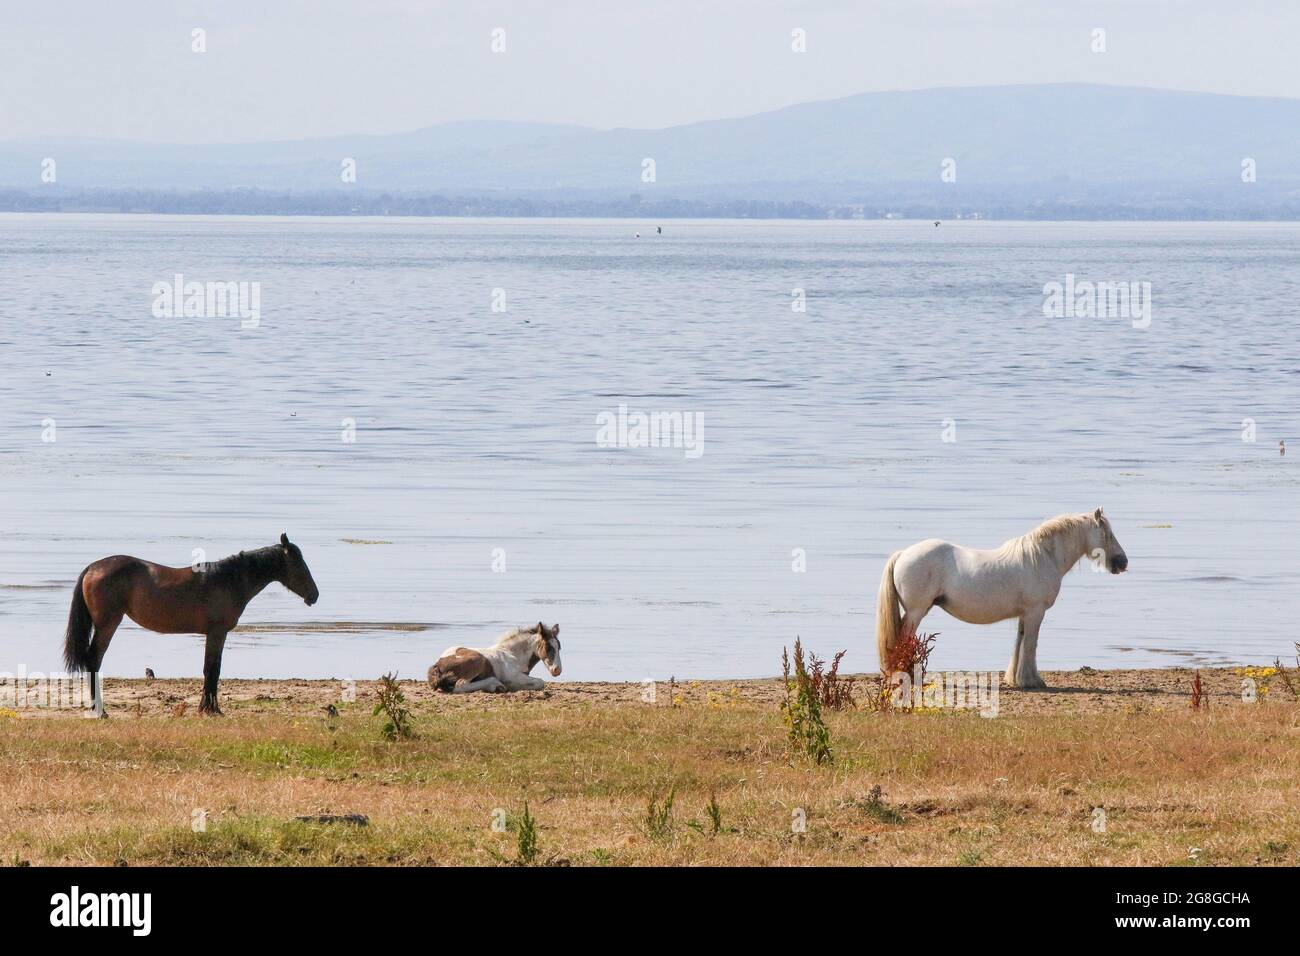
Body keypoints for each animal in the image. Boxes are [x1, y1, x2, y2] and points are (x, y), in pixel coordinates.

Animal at [64, 535, 318, 712]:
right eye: (298, 564)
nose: (314, 595)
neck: (227, 580)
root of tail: (93, 567)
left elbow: (210, 669)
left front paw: (206, 708)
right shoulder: (217, 633)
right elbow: (212, 670)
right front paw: (212, 710)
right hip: (108, 624)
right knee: (94, 660)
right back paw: (100, 711)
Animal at [428, 621, 561, 697]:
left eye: (559, 647)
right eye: (548, 647)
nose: (557, 670)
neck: (513, 654)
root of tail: (437, 665)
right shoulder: (513, 676)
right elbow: (540, 682)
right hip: (477, 661)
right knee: (460, 686)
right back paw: (496, 685)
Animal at [873, 509, 1128, 686]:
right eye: (1107, 534)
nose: (1122, 562)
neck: (1042, 557)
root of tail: (903, 554)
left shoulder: (1025, 614)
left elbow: (1020, 642)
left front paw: (1017, 679)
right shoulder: (1036, 612)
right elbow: (1031, 644)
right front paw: (1031, 681)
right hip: (916, 611)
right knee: (903, 639)